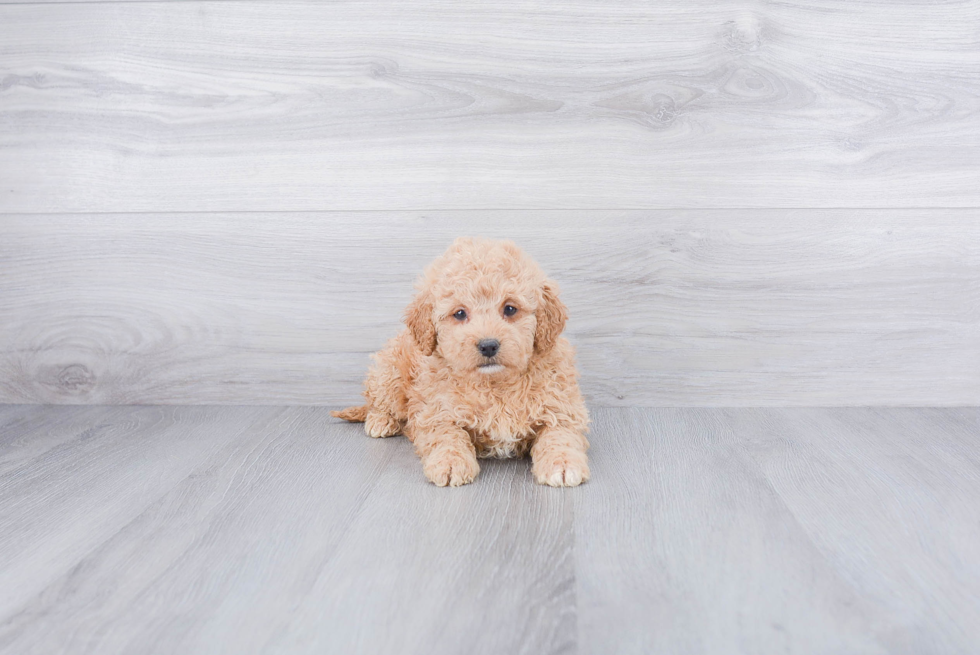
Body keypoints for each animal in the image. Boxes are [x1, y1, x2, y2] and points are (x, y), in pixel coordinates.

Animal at [334, 238, 588, 484]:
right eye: (459, 313)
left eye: (510, 308)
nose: (488, 345)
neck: (494, 383)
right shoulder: (436, 412)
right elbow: (447, 436)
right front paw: (449, 464)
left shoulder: (561, 406)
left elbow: (560, 434)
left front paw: (563, 464)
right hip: (390, 372)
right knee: (379, 401)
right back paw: (381, 421)